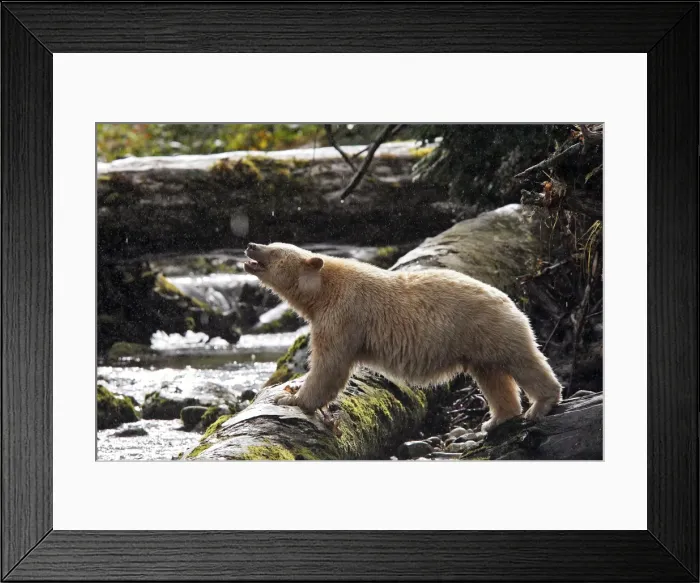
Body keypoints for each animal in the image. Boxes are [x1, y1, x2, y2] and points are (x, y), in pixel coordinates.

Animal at [244, 242, 562, 432]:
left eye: (274, 250)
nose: (251, 246)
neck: (324, 289)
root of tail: (509, 298)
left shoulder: (344, 314)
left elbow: (329, 364)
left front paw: (292, 398)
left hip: (488, 327)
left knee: (522, 361)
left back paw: (541, 404)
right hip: (479, 343)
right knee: (492, 375)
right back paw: (498, 419)